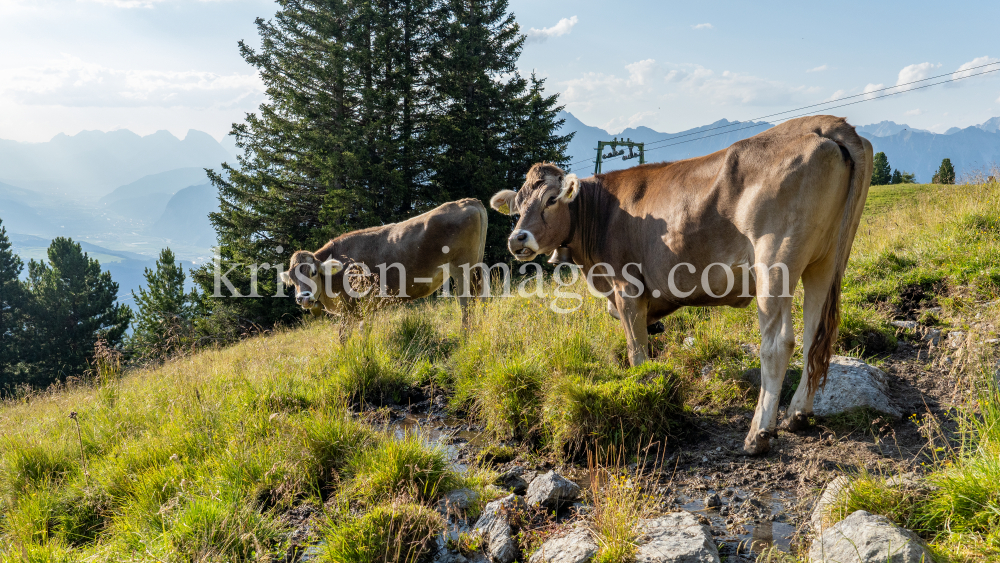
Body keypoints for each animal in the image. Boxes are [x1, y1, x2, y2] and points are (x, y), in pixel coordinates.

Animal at [280, 198, 486, 324]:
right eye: (292, 279)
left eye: (313, 272)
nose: (302, 298)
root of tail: (466, 202)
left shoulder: (350, 309)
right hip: (477, 267)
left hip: (462, 268)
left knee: (466, 304)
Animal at [488, 117, 872, 456]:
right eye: (518, 206)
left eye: (551, 200)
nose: (517, 239)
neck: (601, 214)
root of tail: (826, 123)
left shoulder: (626, 288)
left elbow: (637, 352)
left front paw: (644, 395)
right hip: (825, 260)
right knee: (815, 334)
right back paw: (798, 414)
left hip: (775, 258)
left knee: (778, 344)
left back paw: (758, 434)